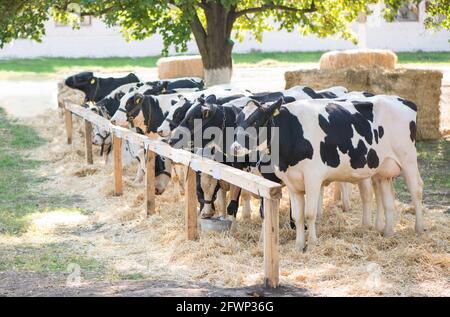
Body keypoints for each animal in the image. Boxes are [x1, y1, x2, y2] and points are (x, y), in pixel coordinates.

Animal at [230, 96, 424, 249]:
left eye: (256, 121)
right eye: (237, 122)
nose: (235, 147)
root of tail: (404, 100)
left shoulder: (313, 177)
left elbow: (309, 214)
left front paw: (312, 244)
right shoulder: (292, 182)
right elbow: (297, 216)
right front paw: (299, 245)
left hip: (407, 159)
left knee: (416, 190)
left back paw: (419, 228)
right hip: (383, 170)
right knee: (388, 200)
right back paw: (388, 233)